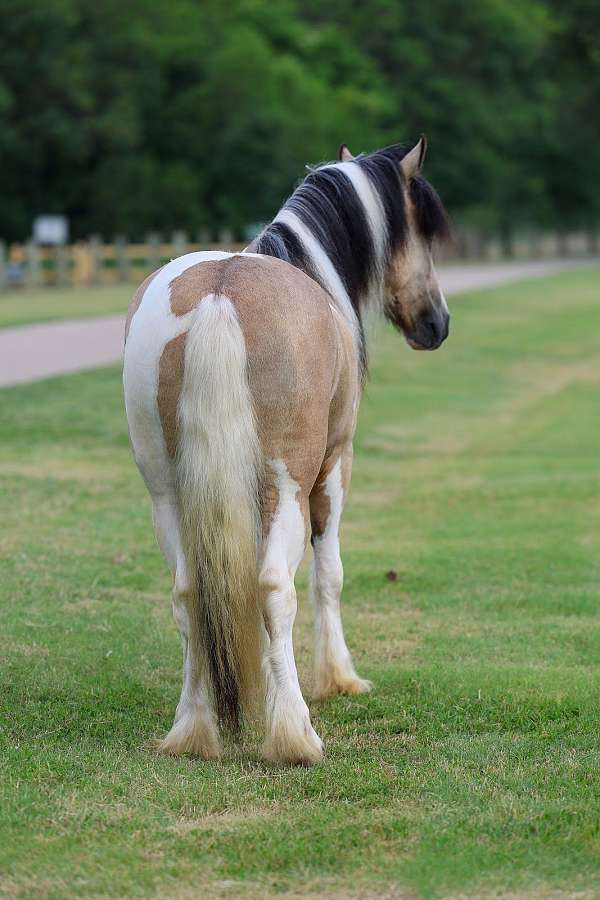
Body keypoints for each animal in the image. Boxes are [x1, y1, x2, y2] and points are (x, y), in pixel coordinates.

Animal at [123, 136, 450, 766]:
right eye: (419, 231)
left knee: (187, 590)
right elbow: (330, 575)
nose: (436, 322)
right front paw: (339, 678)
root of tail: (220, 294)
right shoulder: (335, 466)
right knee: (275, 587)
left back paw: (193, 729)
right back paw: (295, 733)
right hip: (288, 486)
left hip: (165, 493)